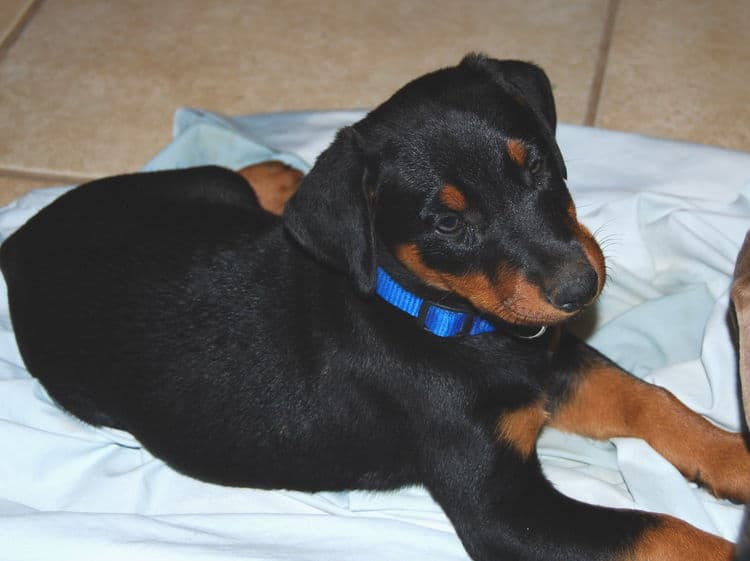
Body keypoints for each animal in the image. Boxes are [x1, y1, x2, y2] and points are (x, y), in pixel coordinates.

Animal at [2, 53, 748, 560]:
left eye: (533, 163)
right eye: (446, 223)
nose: (578, 288)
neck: (439, 316)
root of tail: (22, 239)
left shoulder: (549, 359)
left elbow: (649, 398)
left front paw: (733, 456)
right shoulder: (503, 508)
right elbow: (660, 529)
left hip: (196, 190)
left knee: (235, 179)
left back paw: (279, 176)